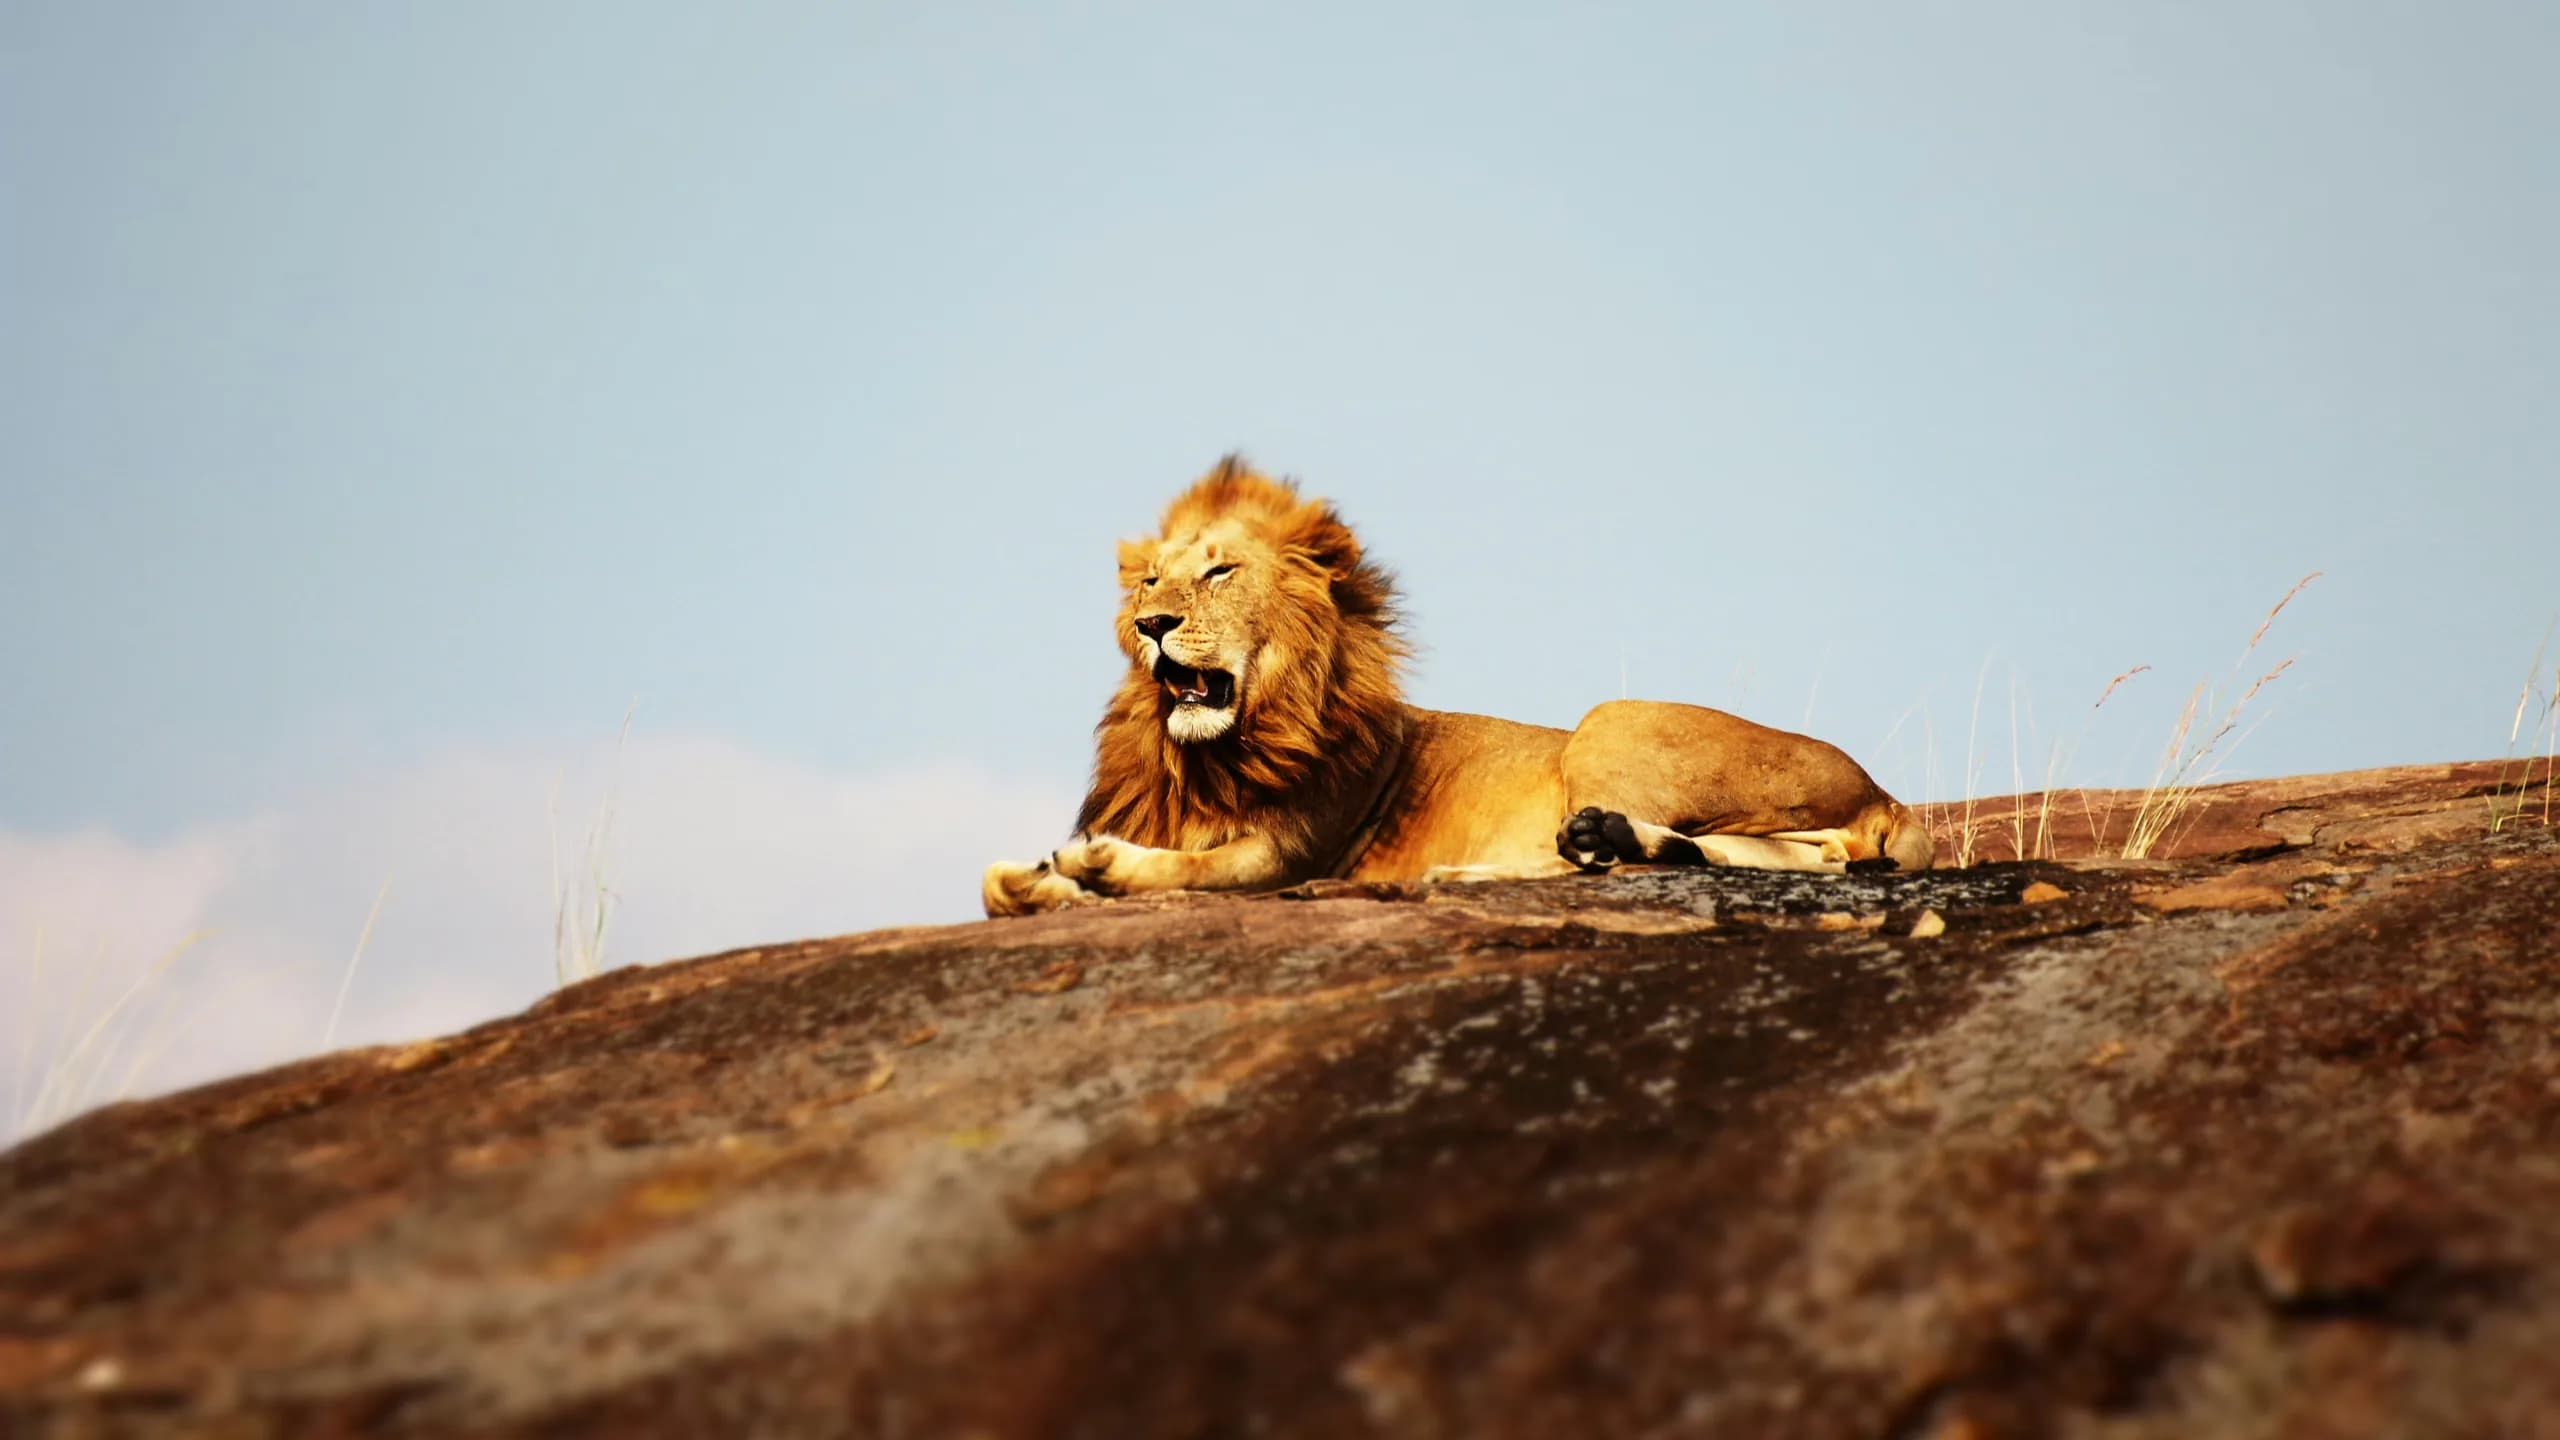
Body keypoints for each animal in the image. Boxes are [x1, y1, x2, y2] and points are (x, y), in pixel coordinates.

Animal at [982, 456, 1932, 917]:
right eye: (1149, 582)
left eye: (1218, 572)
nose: (1152, 625)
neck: (1206, 758)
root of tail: (1887, 794)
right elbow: (995, 884)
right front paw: (1040, 880)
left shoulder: (1287, 855)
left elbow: (1186, 868)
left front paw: (1096, 864)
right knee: (1798, 855)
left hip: (1608, 721)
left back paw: (1511, 862)